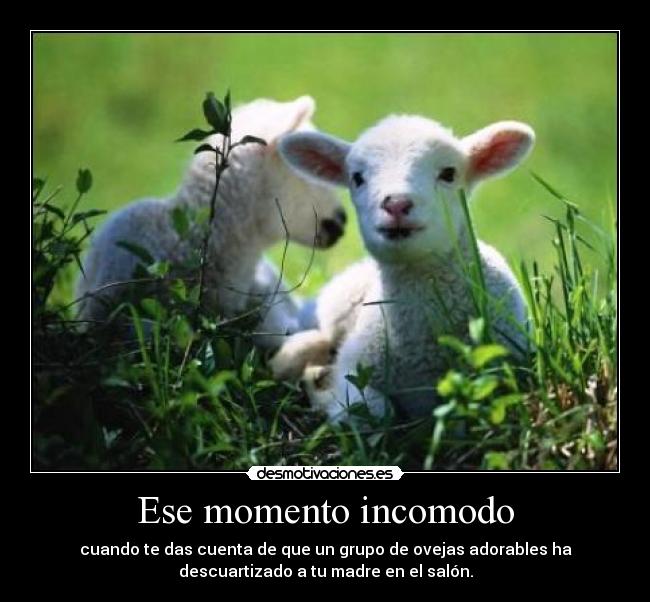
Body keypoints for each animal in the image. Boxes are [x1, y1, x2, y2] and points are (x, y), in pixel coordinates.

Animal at [270, 114, 535, 422]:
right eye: (357, 178)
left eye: (449, 173)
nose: (396, 203)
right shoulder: (355, 368)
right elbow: (373, 410)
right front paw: (325, 395)